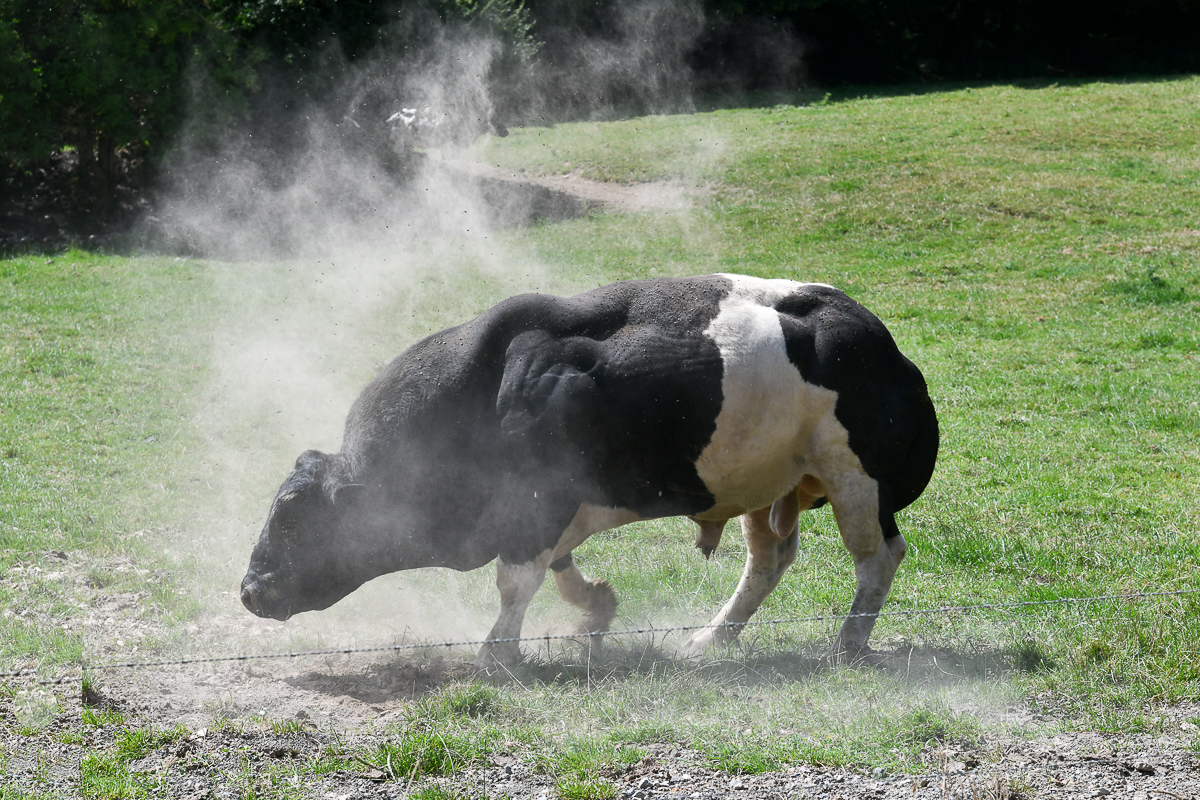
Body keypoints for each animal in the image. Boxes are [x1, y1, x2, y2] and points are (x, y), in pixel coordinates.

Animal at [241, 275, 936, 671]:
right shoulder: (550, 511)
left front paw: (499, 653)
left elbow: (515, 582)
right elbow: (557, 570)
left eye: (294, 517)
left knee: (878, 557)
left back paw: (849, 642)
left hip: (855, 478)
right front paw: (596, 608)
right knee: (770, 559)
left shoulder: (533, 504)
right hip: (765, 484)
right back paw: (713, 639)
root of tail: (881, 341)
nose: (249, 590)